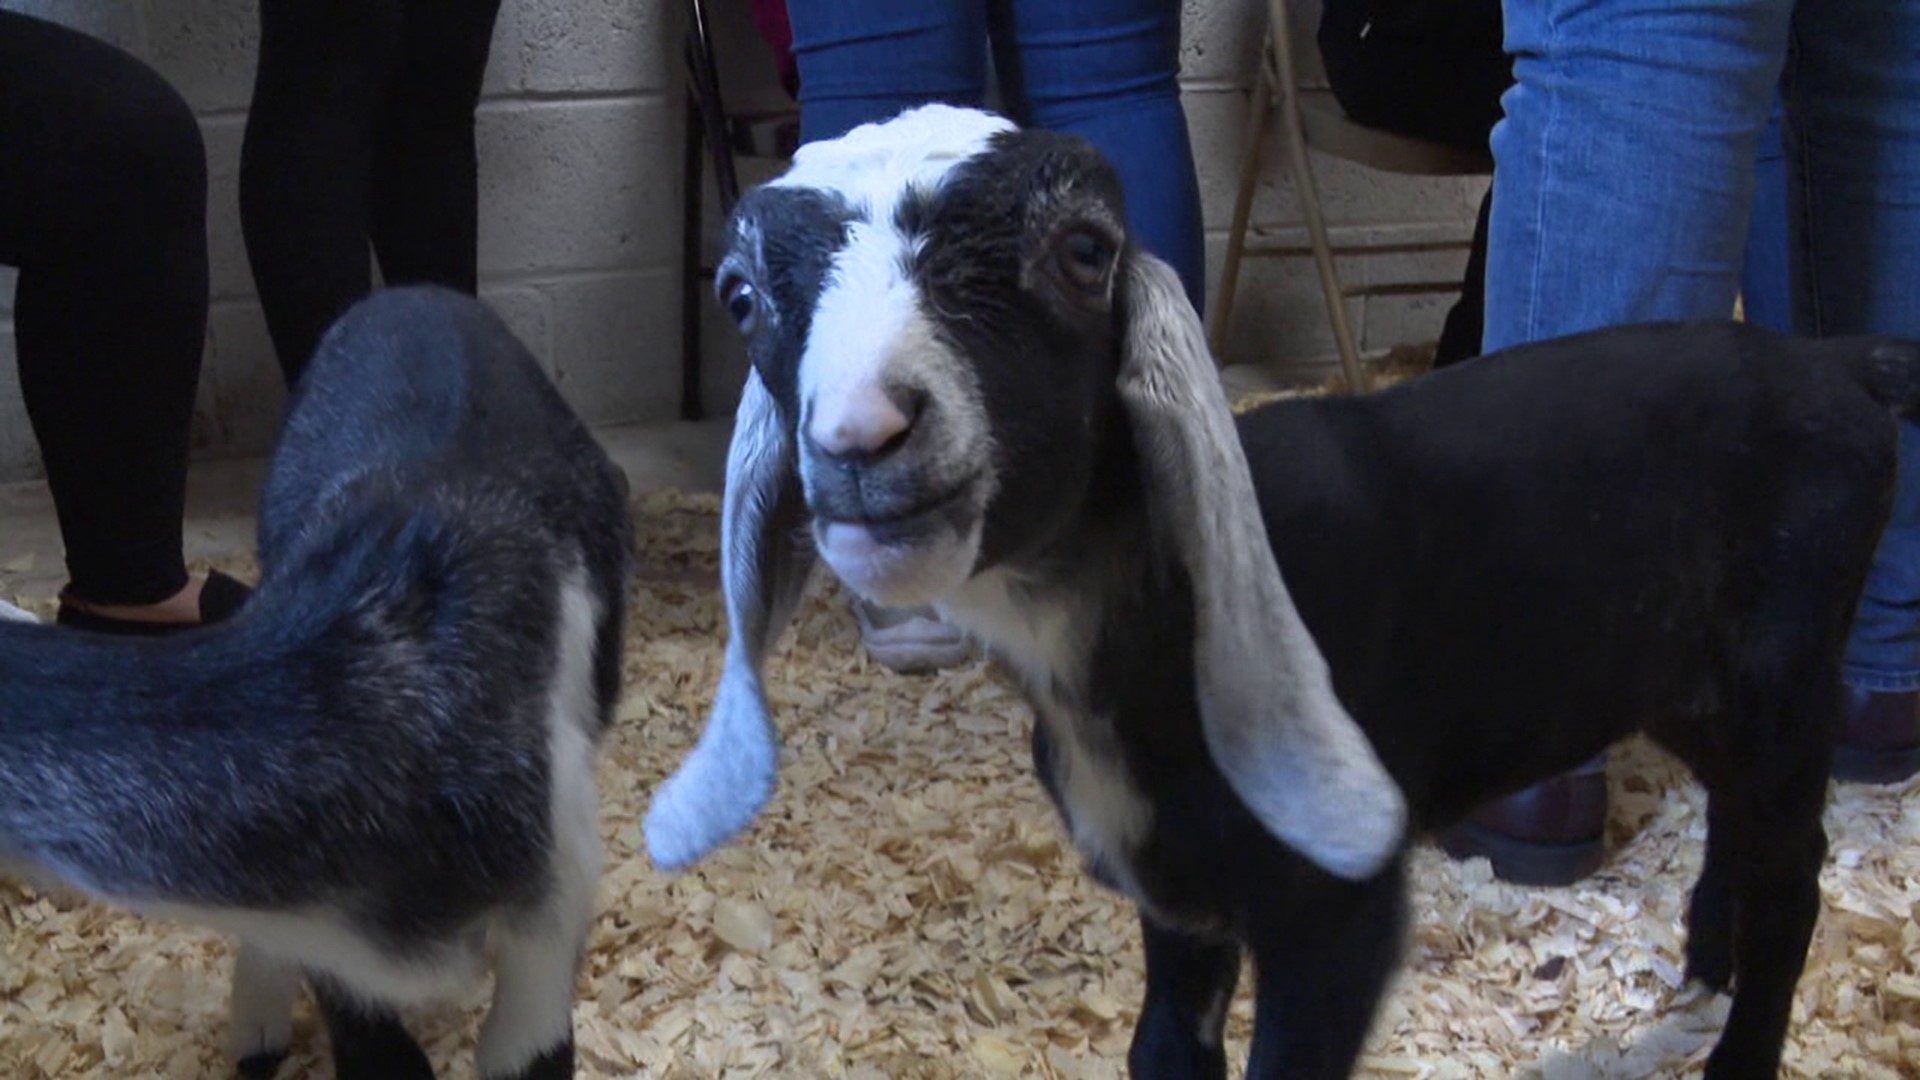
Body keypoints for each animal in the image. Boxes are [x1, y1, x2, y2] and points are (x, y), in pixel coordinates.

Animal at [648, 107, 1920, 1076]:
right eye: (740, 298)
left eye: (1085, 251)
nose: (862, 435)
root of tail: (1836, 362)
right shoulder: (1177, 902)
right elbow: (1166, 1052)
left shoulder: (1335, 912)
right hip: (1685, 677)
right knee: (1736, 825)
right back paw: (1703, 965)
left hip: (1788, 667)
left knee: (1797, 877)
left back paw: (1741, 1041)